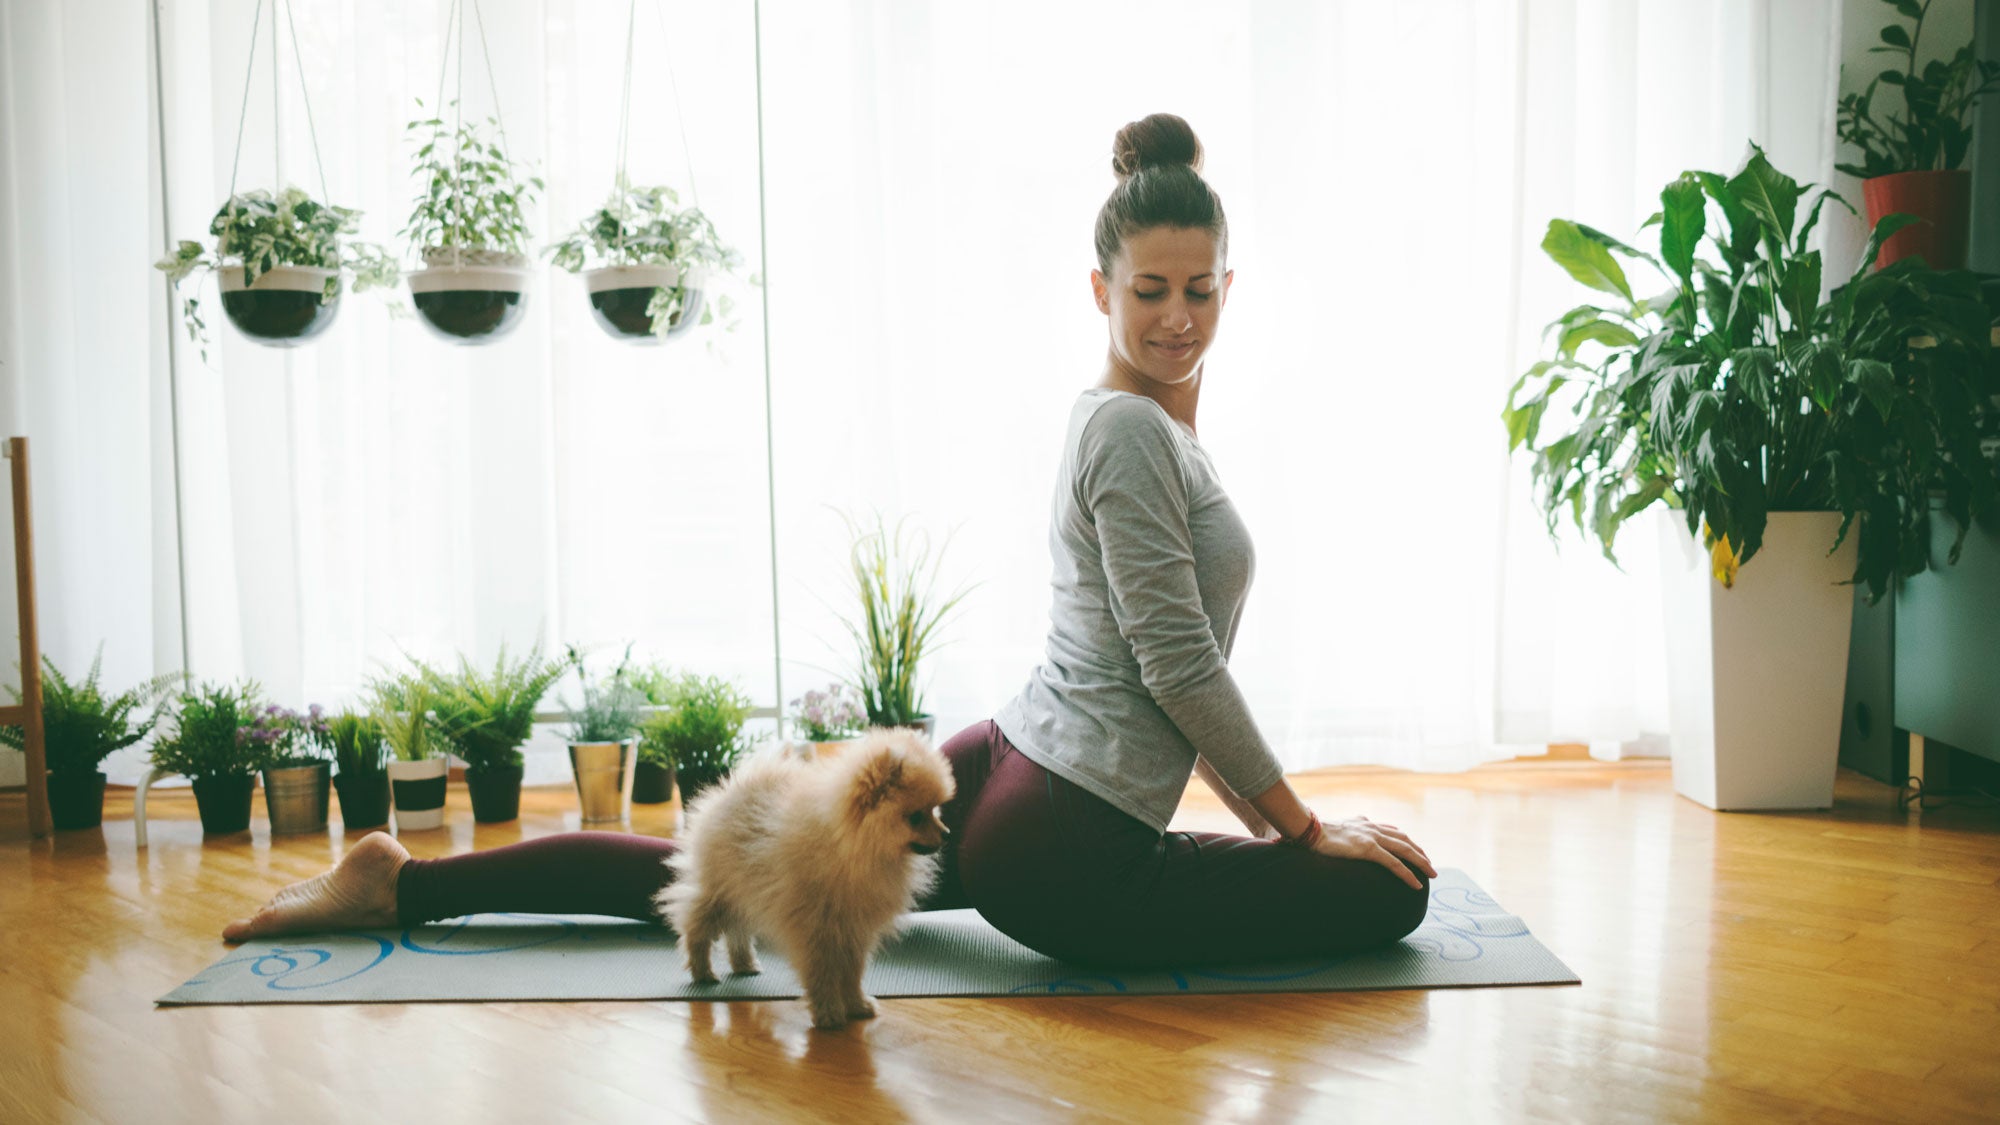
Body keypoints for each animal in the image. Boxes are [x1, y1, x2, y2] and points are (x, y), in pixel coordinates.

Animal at [660, 728, 956, 1024]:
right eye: (916, 817)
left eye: (934, 810)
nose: (947, 834)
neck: (852, 849)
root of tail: (736, 786)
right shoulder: (814, 927)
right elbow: (820, 972)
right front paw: (828, 1012)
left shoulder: (854, 927)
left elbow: (852, 972)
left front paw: (856, 1004)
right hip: (720, 890)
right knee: (695, 926)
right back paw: (702, 971)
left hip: (744, 891)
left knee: (738, 929)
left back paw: (744, 963)